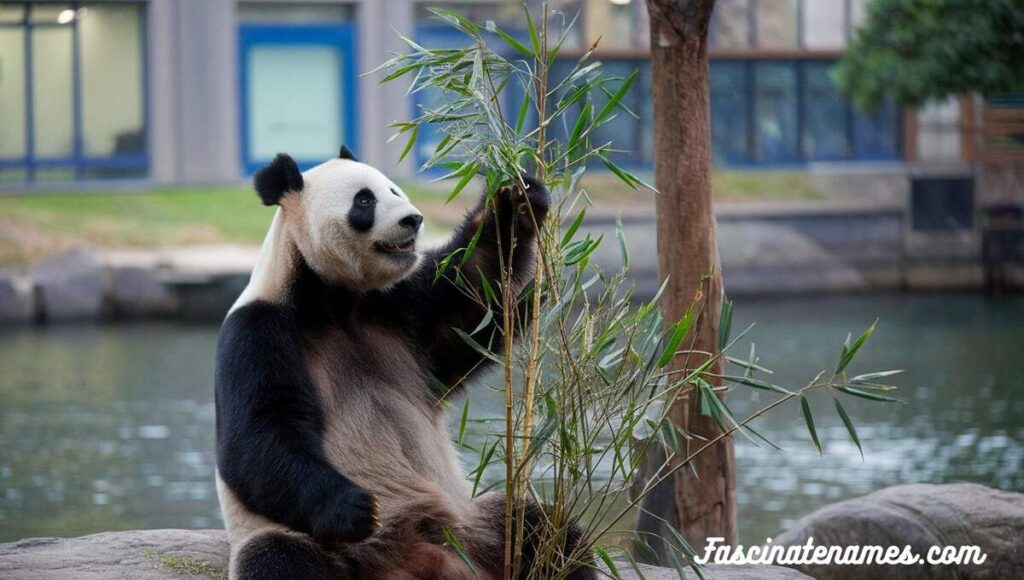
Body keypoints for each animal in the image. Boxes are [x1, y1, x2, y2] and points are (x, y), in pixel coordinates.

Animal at [217, 146, 598, 580]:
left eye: (394, 190)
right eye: (364, 201)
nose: (413, 220)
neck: (336, 301)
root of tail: (419, 562)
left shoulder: (403, 309)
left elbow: (471, 290)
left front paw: (516, 198)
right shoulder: (259, 333)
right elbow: (258, 435)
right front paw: (358, 508)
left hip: (476, 526)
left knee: (547, 531)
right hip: (320, 545)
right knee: (279, 558)